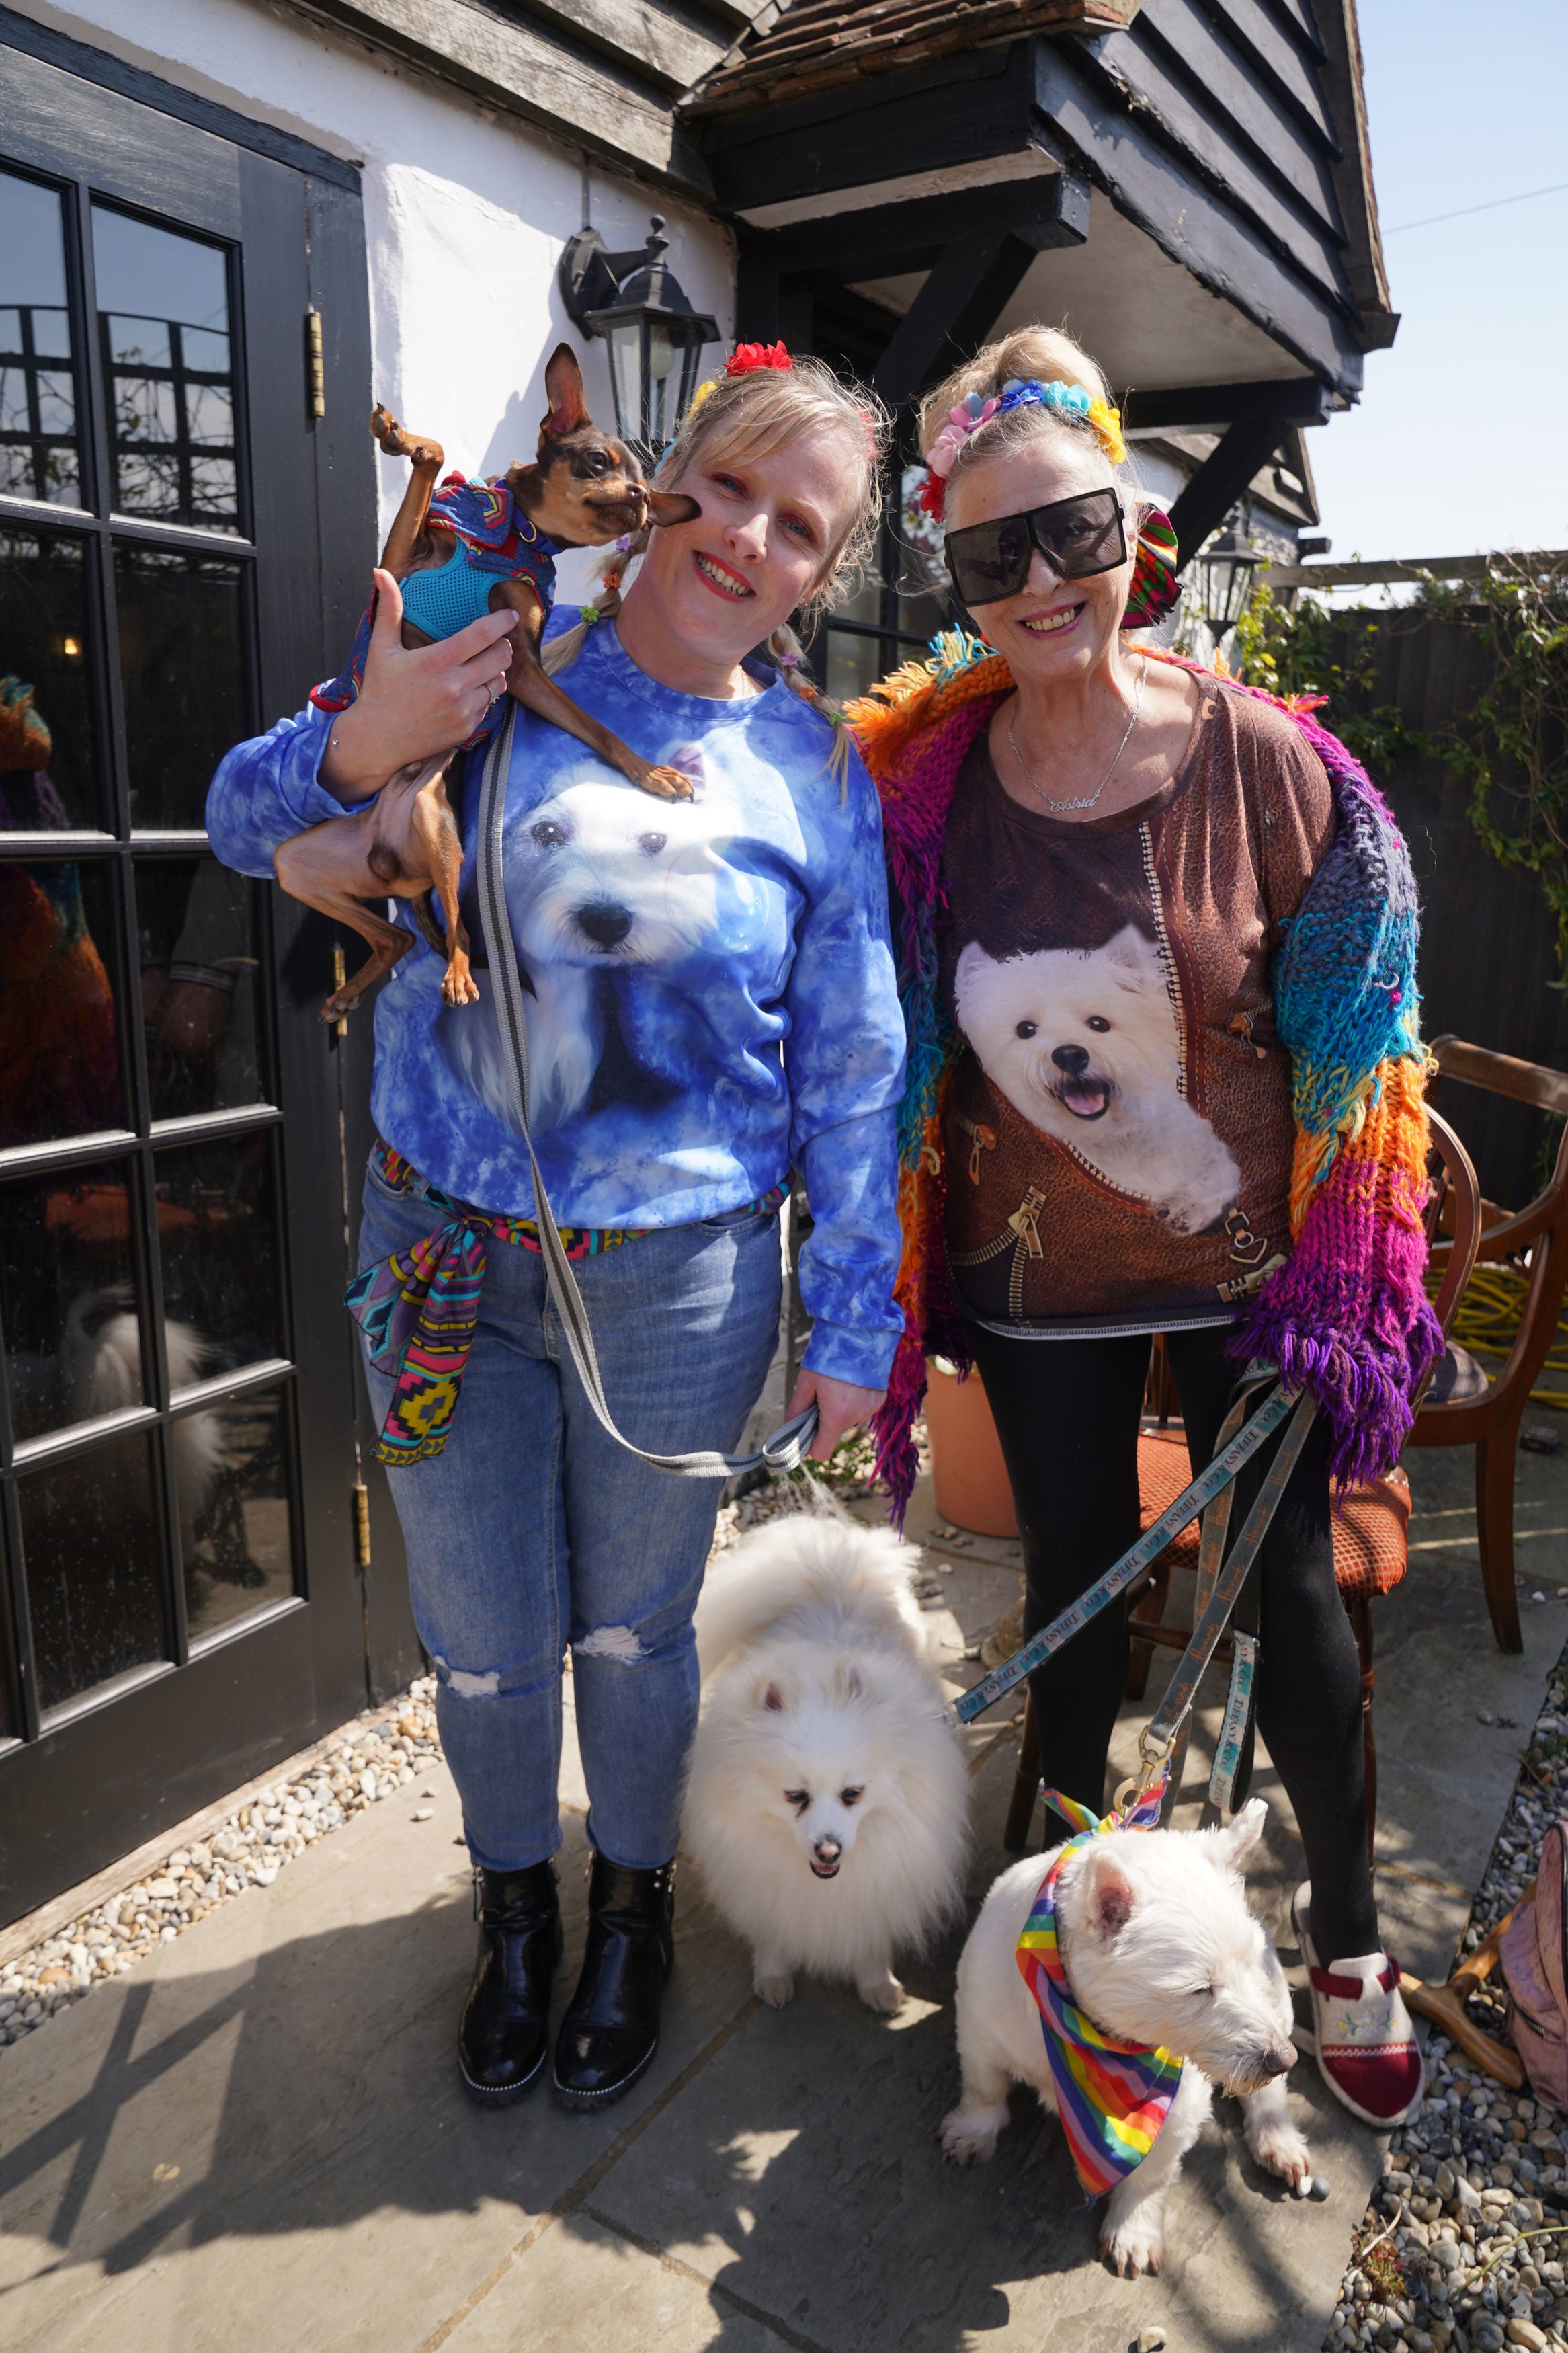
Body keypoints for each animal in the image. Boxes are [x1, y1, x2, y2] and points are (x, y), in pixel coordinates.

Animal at [682, 1515, 968, 2014]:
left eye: (853, 1794)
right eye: (795, 1796)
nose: (828, 1851)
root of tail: (833, 1579)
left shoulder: (874, 1886)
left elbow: (868, 1937)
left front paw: (878, 1985)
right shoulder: (760, 1879)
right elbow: (772, 1932)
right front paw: (773, 1976)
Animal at [945, 1798, 1316, 2278]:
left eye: (1250, 1966)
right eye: (1200, 1989)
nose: (1283, 2058)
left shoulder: (1179, 2106)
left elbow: (1150, 2174)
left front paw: (1133, 2231)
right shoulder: (978, 2024)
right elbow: (984, 2086)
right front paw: (971, 2132)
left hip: (1280, 2006)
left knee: (1267, 2095)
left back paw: (1278, 2139)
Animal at [950, 927, 1241, 1242]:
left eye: (1099, 1024)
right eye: (1025, 1030)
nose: (1070, 1055)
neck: (1109, 1139)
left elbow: (1220, 1172)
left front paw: (1189, 1208)